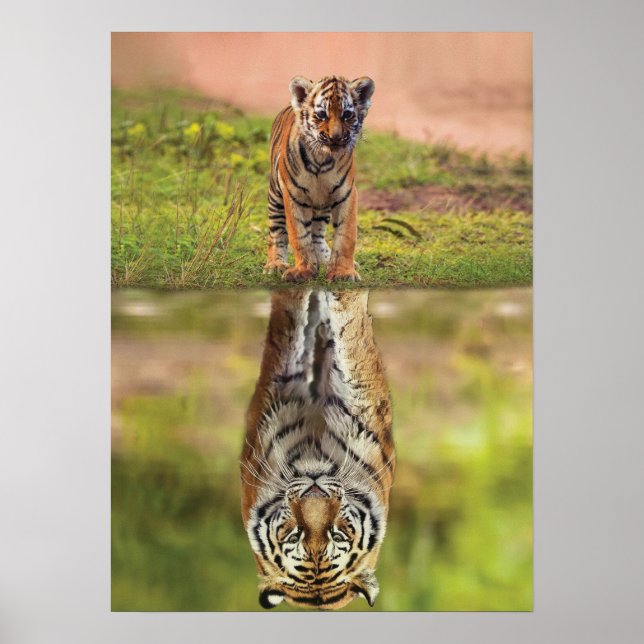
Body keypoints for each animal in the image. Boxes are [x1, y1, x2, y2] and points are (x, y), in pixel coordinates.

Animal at [263, 75, 375, 282]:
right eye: (322, 114)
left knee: (317, 234)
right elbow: (299, 236)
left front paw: (343, 272)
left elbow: (346, 235)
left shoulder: (346, 194)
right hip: (275, 196)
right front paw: (304, 270)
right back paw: (275, 264)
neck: (321, 159)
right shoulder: (294, 195)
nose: (336, 137)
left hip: (323, 205)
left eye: (347, 115)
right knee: (277, 232)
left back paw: (325, 259)